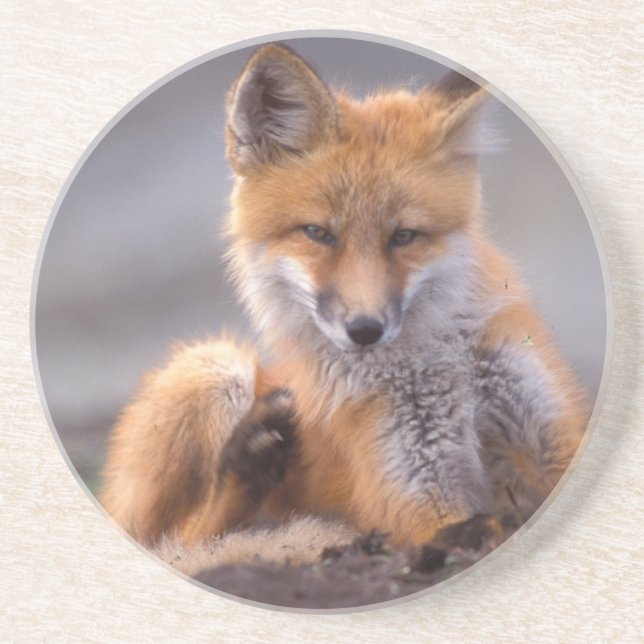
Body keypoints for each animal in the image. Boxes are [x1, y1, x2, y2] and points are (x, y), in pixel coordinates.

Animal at [100, 43, 588, 569]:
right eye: (318, 233)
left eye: (404, 236)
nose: (365, 329)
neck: (437, 365)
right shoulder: (413, 491)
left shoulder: (551, 434)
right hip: (212, 368)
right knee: (182, 540)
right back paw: (248, 467)